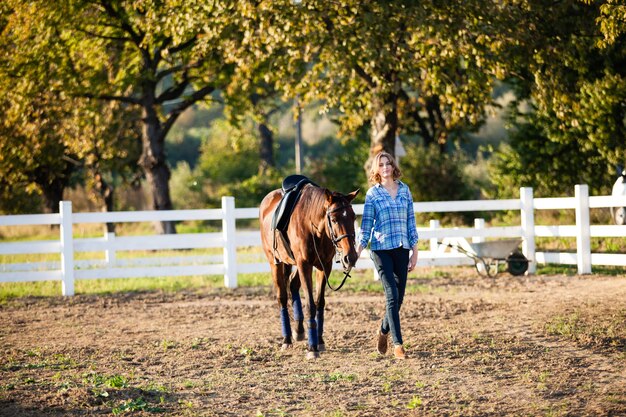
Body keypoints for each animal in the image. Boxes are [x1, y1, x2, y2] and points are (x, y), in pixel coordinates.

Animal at [258, 182, 356, 358]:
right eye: (334, 219)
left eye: (354, 217)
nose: (350, 257)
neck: (313, 227)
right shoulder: (304, 265)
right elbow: (310, 304)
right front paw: (312, 348)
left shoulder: (324, 266)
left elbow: (319, 302)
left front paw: (320, 341)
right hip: (275, 262)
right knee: (282, 297)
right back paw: (287, 339)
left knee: (292, 284)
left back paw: (299, 330)